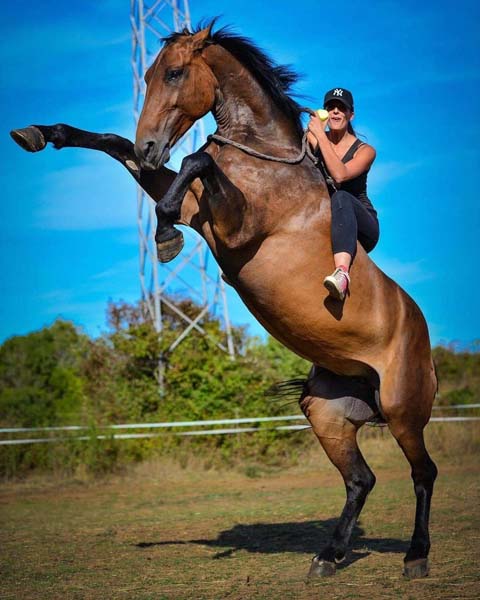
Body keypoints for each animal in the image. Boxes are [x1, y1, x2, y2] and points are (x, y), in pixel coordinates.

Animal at [11, 21, 438, 580]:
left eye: (174, 73)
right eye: (146, 75)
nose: (152, 146)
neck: (263, 156)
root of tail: (424, 340)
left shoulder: (234, 227)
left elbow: (195, 159)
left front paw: (165, 236)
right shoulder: (199, 207)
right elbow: (115, 144)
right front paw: (40, 134)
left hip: (404, 410)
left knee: (423, 473)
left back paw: (415, 556)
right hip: (327, 413)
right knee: (360, 480)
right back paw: (327, 557)